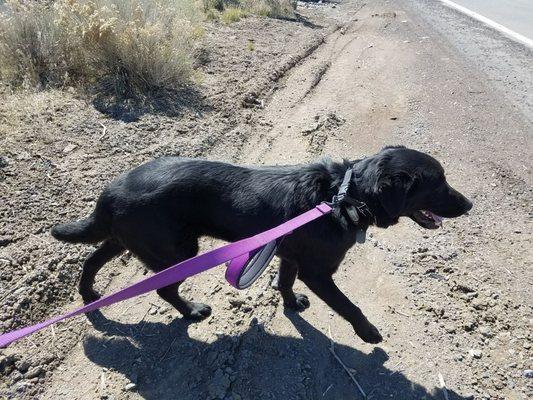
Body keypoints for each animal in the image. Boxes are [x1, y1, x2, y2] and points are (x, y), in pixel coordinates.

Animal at [52, 147, 472, 344]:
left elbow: (285, 282)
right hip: (176, 251)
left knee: (91, 259)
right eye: (438, 183)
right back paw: (192, 311)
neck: (345, 195)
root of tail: (111, 191)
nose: (470, 205)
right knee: (164, 289)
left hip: (128, 239)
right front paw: (367, 331)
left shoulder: (291, 256)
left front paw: (291, 303)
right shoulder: (319, 273)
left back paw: (88, 294)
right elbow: (349, 305)